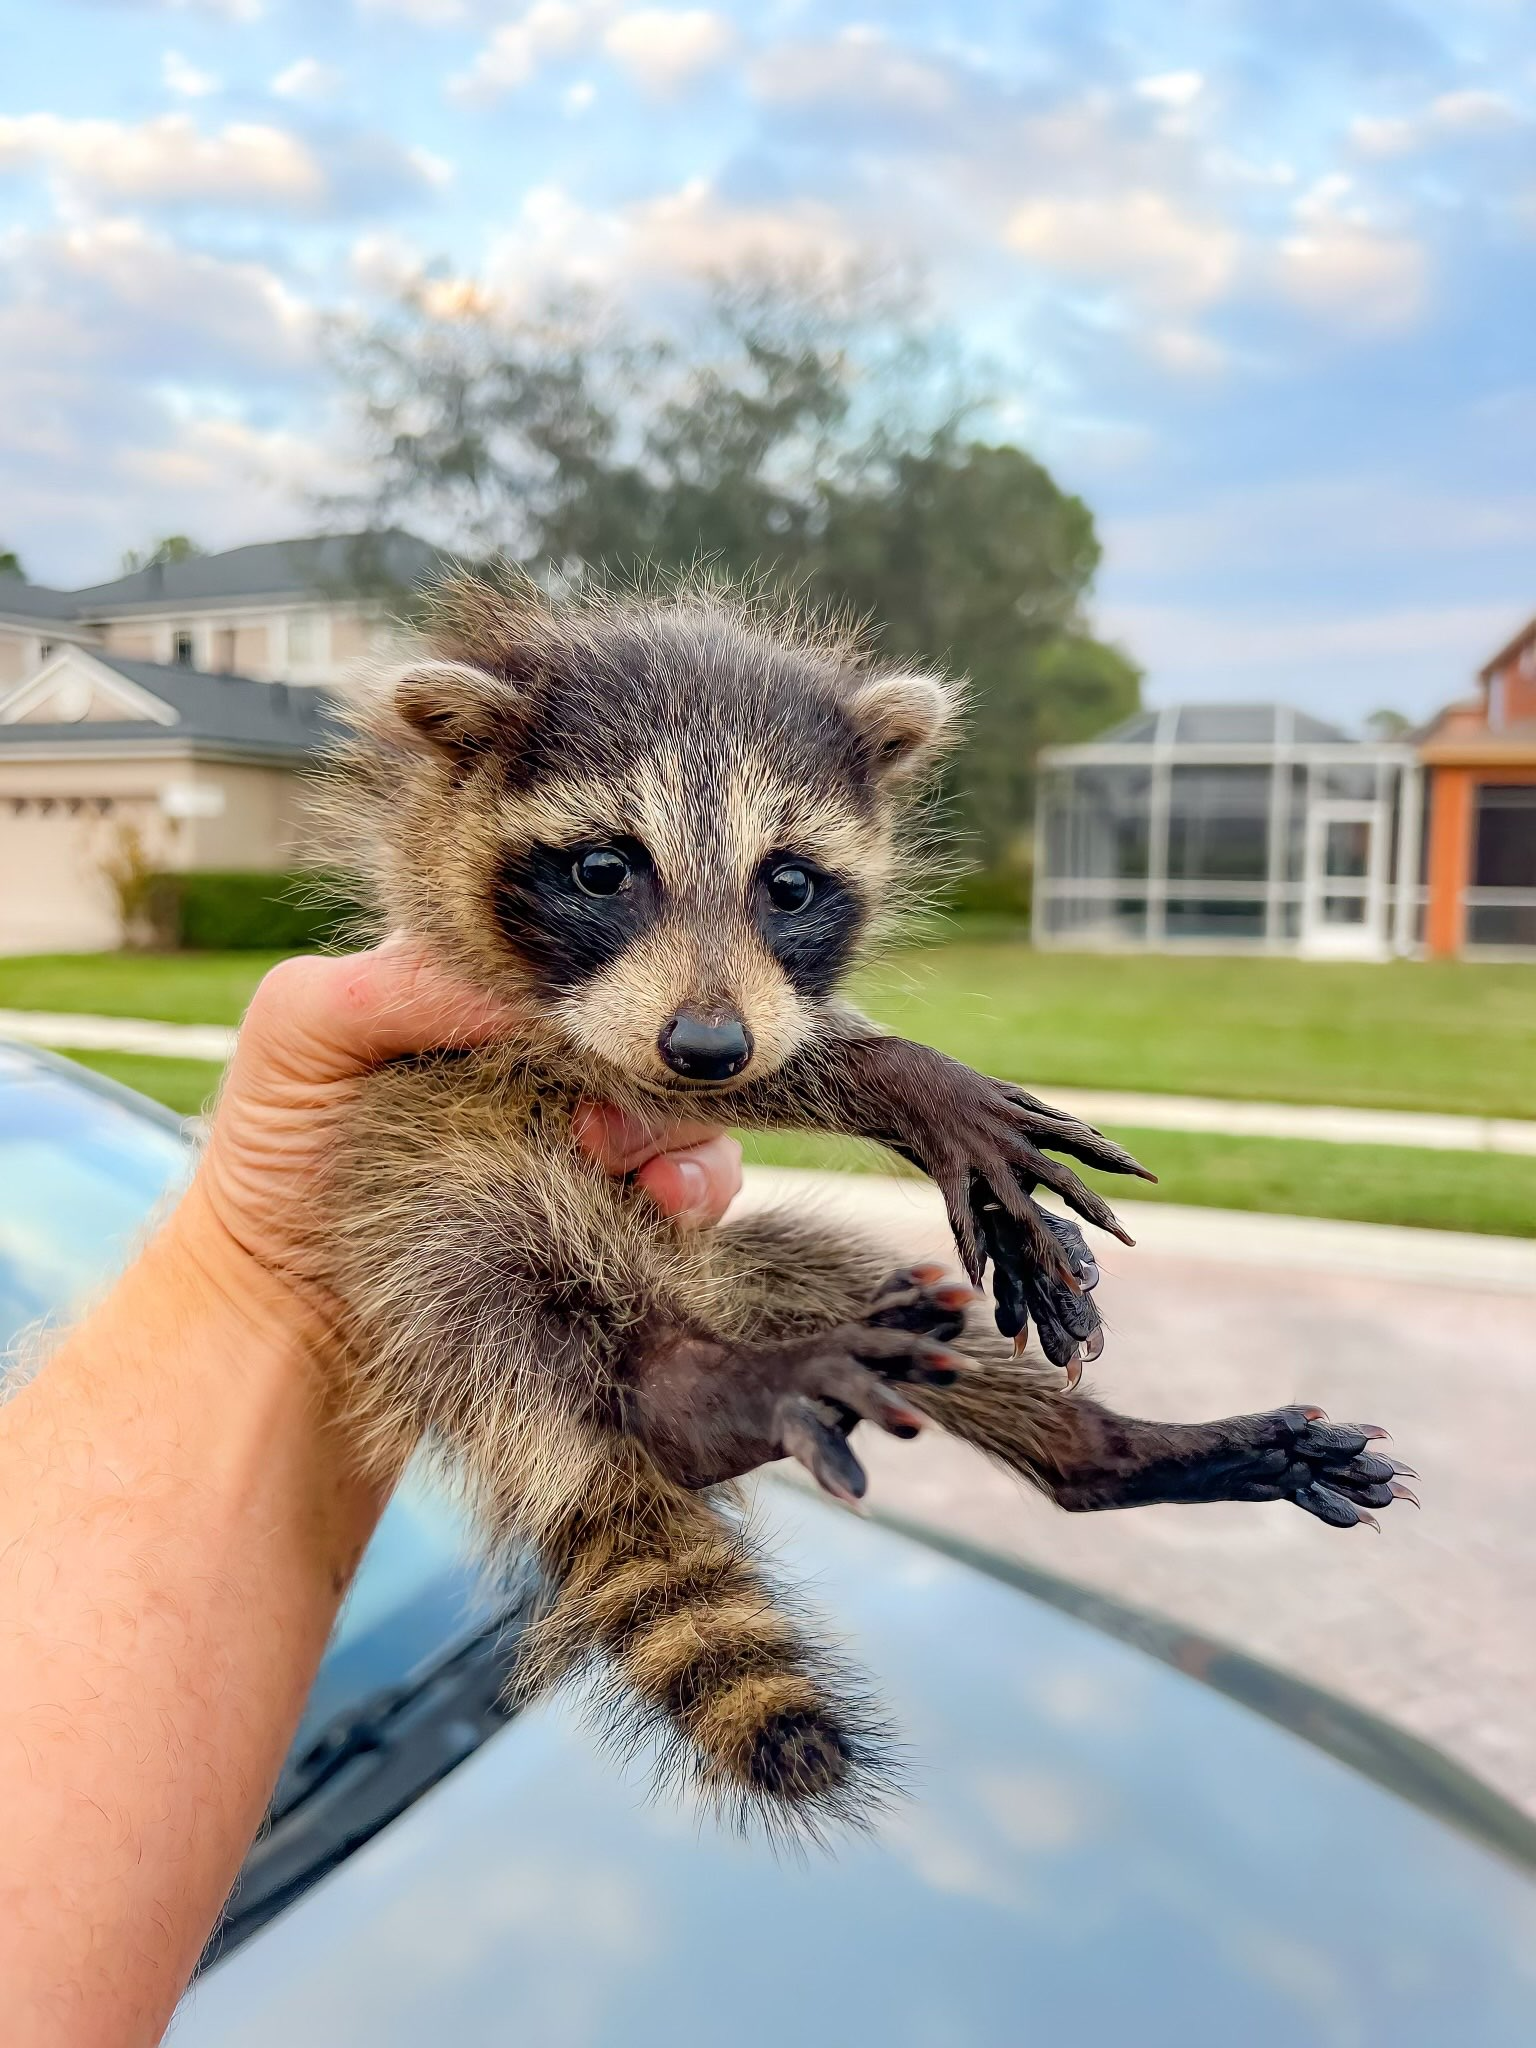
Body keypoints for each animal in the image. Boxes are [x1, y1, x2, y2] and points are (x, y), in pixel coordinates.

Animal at [315, 569, 1410, 1835]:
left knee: (856, 1283)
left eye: (788, 882)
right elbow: (621, 1067)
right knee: (492, 1299)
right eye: (603, 869)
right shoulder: (474, 1021)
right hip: (413, 1229)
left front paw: (927, 1105)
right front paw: (905, 1082)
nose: (706, 1047)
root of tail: (664, 1310)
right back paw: (696, 1395)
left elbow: (787, 1050)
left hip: (746, 1268)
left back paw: (1103, 1450)